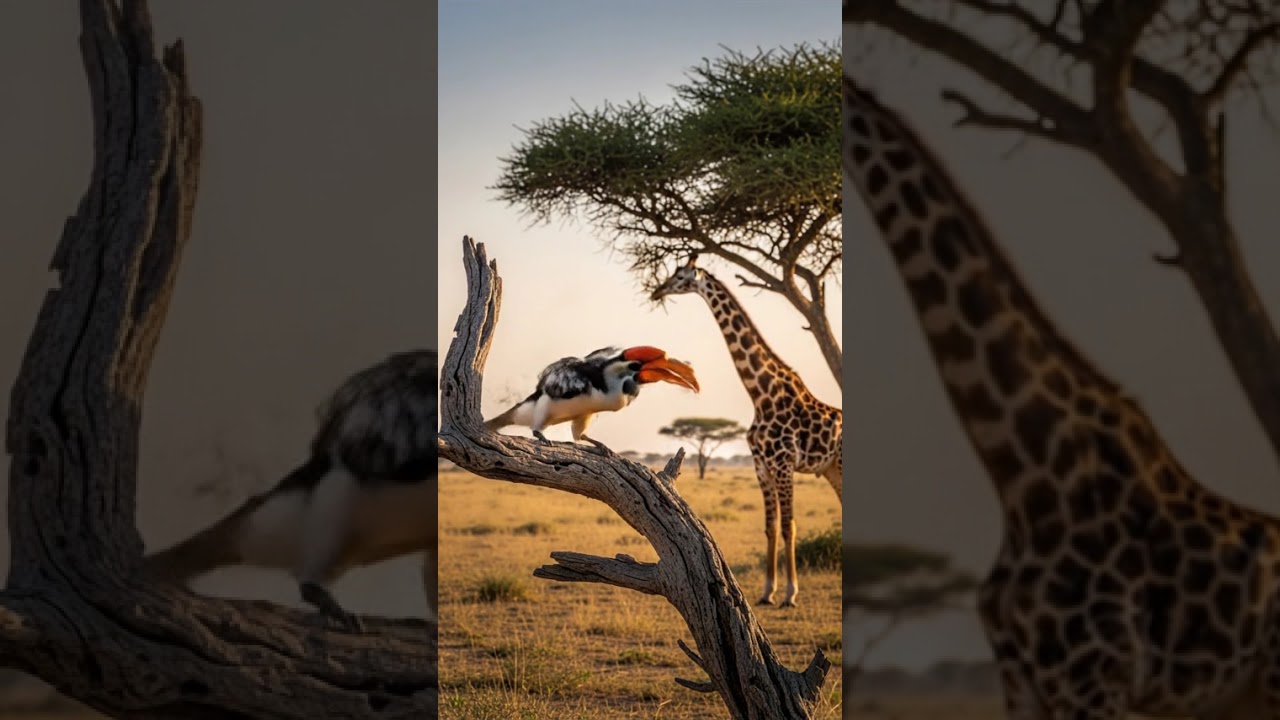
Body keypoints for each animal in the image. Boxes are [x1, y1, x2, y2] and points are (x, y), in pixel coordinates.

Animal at [652, 256, 842, 608]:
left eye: (681, 276)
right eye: (671, 273)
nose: (658, 290)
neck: (762, 395)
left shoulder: (783, 464)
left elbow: (788, 526)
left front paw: (791, 594)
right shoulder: (761, 466)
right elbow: (770, 527)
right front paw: (768, 592)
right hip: (831, 468)